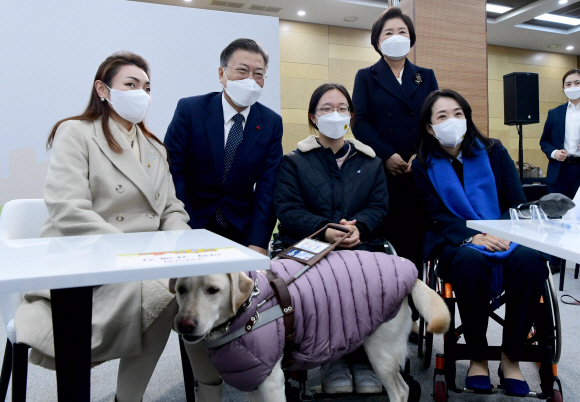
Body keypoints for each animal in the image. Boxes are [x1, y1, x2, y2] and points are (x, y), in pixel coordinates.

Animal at [168, 264, 448, 402]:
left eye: (213, 290)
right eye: (181, 289)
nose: (184, 325)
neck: (253, 307)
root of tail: (412, 276)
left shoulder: (271, 382)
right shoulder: (252, 379)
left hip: (380, 353)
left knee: (399, 392)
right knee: (405, 388)